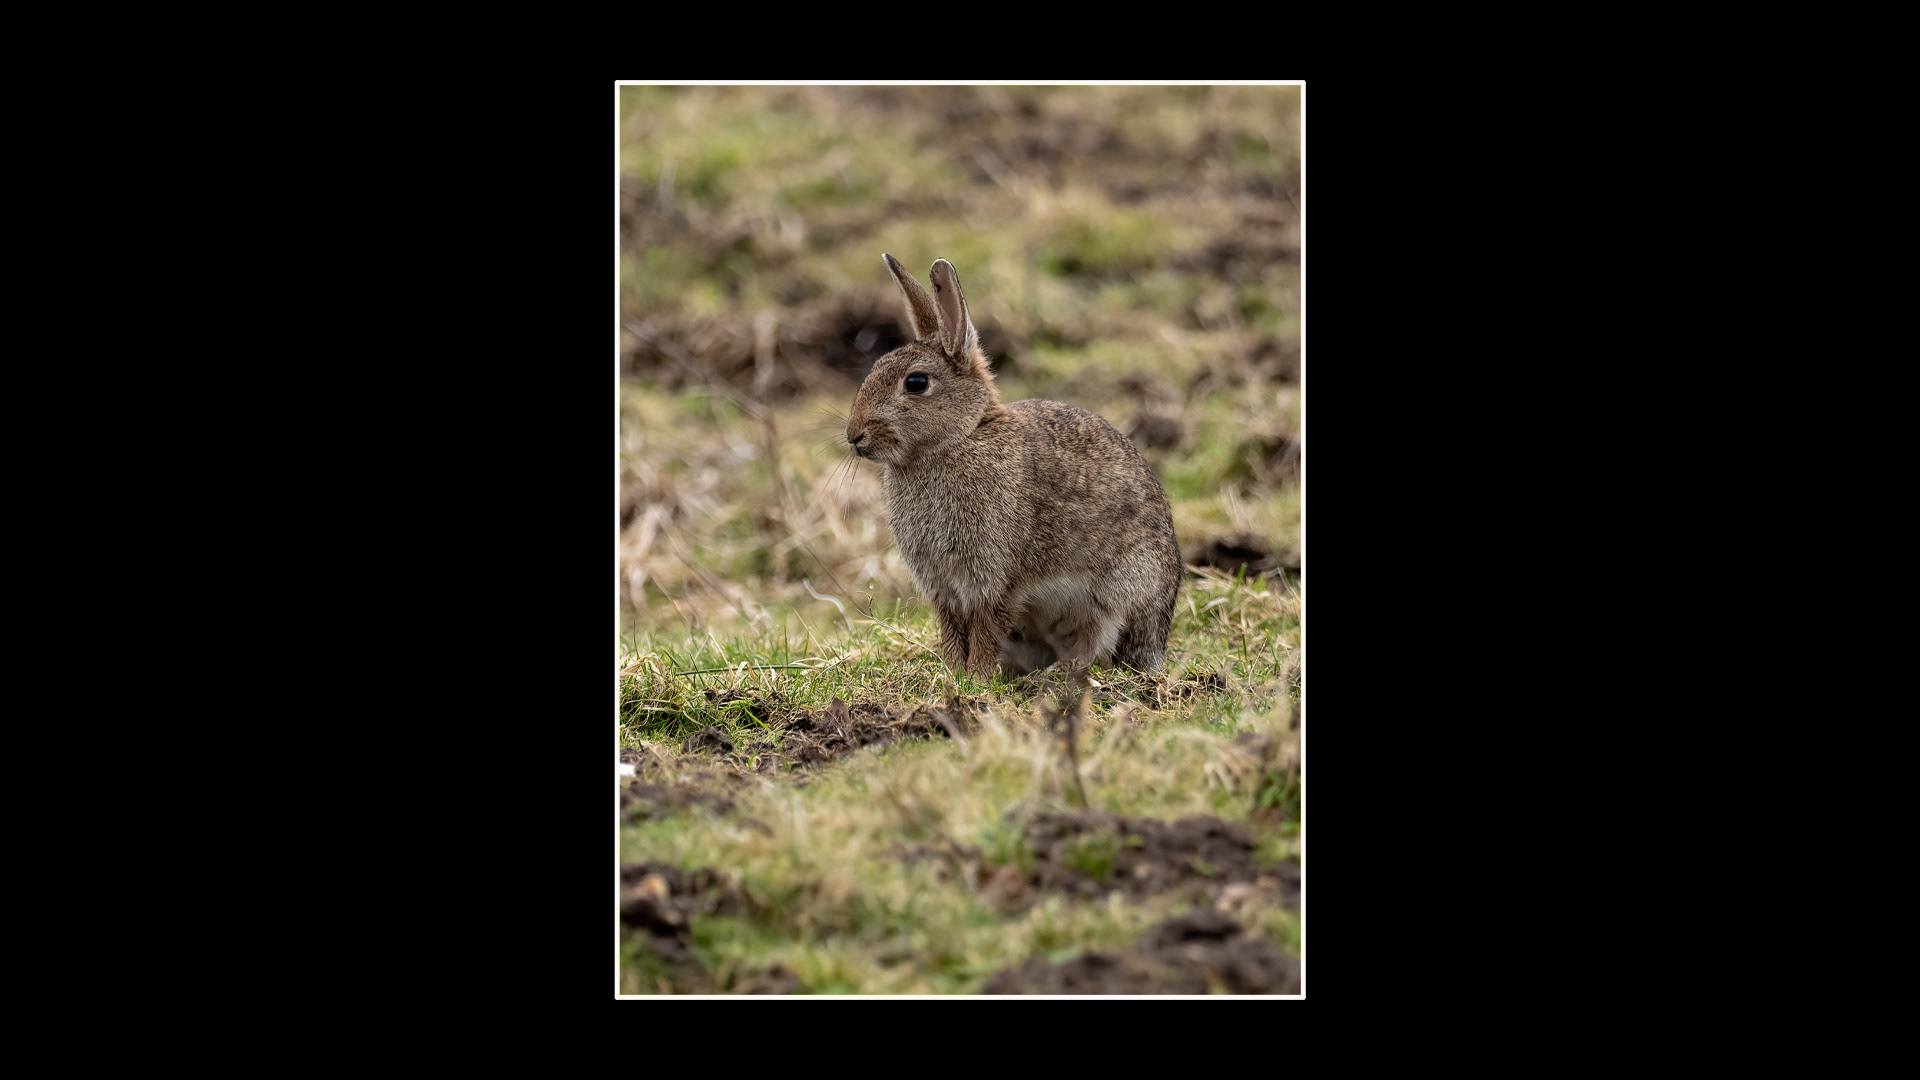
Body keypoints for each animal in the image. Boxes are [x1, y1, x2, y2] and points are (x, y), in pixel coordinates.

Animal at [844, 254, 1183, 679]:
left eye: (916, 382)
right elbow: (953, 630)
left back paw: (1058, 673)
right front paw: (954, 674)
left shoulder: (991, 576)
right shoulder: (943, 586)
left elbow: (985, 626)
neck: (959, 438)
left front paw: (976, 676)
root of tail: (1157, 640)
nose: (853, 436)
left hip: (1118, 589)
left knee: (1098, 642)